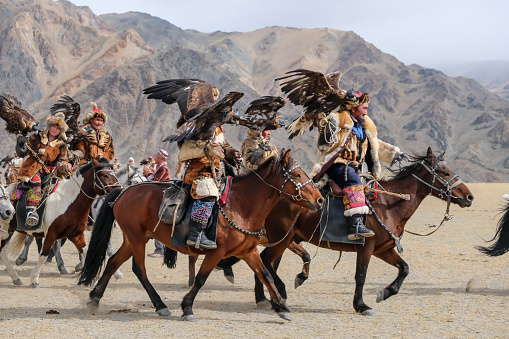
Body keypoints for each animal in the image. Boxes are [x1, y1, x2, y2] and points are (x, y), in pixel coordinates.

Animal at [77, 150, 324, 322]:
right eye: (296, 174)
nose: (320, 199)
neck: (241, 205)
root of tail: (122, 192)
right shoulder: (217, 252)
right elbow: (201, 278)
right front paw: (187, 307)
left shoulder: (248, 251)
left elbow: (266, 276)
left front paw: (283, 308)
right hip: (137, 238)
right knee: (139, 269)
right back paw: (160, 305)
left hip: (133, 238)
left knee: (112, 262)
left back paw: (95, 298)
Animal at [224, 148, 474, 316]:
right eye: (444, 171)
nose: (469, 196)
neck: (389, 204)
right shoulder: (367, 247)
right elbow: (361, 276)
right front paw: (361, 305)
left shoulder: (383, 249)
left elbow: (404, 269)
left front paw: (385, 293)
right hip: (281, 238)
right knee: (265, 261)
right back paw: (274, 295)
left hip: (286, 240)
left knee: (266, 262)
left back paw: (269, 297)